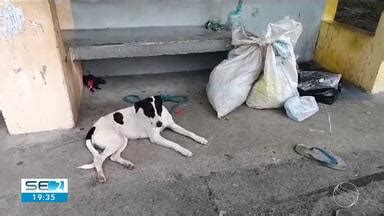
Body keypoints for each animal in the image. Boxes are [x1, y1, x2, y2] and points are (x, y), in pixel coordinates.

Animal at [78, 96, 208, 182]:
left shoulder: (172, 125)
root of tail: (93, 128)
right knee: (98, 159)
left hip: (123, 140)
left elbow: (189, 133)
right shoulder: (155, 137)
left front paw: (200, 138)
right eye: (149, 112)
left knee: (113, 157)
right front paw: (184, 150)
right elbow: (174, 143)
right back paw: (100, 175)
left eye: (159, 109)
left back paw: (127, 164)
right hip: (116, 141)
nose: (159, 124)